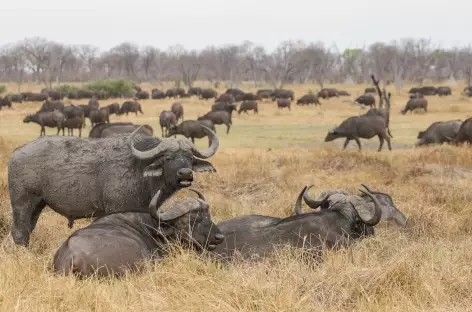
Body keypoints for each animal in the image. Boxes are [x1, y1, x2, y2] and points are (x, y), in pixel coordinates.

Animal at [8, 125, 219, 246]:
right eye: (168, 158)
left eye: (190, 158)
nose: (185, 174)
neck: (138, 169)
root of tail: (16, 153)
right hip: (22, 204)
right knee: (19, 232)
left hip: (38, 205)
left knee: (28, 230)